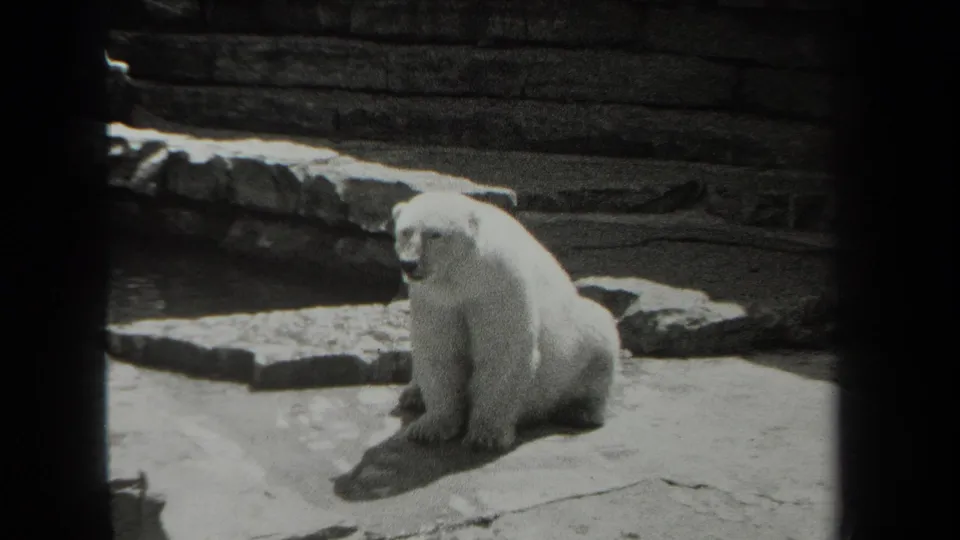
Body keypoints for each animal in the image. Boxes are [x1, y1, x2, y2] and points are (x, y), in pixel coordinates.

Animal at [390, 192, 621, 453]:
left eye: (435, 234)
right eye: (405, 231)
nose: (409, 264)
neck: (464, 278)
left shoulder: (499, 287)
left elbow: (502, 352)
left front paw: (486, 435)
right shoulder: (435, 299)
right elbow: (440, 352)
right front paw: (429, 427)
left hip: (577, 340)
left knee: (599, 337)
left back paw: (581, 412)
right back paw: (413, 395)